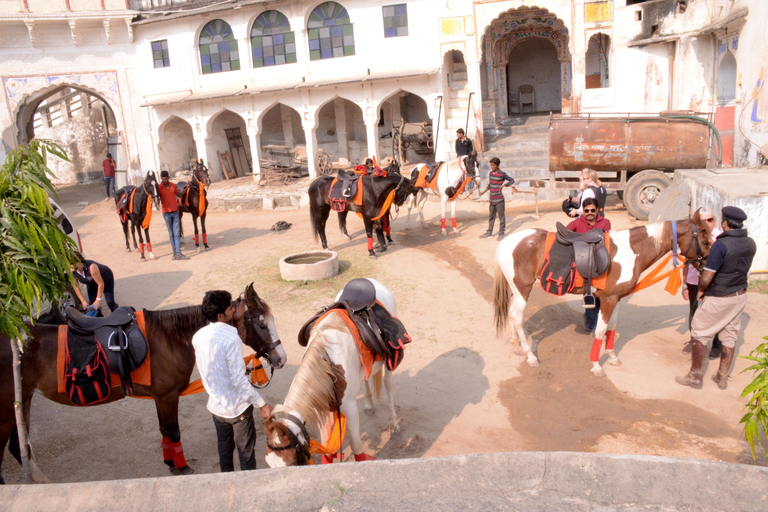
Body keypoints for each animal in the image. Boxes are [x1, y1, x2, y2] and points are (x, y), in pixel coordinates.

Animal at [0, 282, 284, 482]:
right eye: (261, 324)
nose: (281, 358)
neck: (169, 337)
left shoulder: (159, 396)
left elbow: (163, 431)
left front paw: (170, 463)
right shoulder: (167, 396)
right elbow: (173, 431)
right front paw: (181, 467)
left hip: (22, 401)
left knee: (19, 446)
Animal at [260, 278, 400, 466]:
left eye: (292, 462)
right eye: (268, 463)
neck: (327, 359)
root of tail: (372, 281)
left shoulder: (349, 407)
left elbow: (356, 445)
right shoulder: (321, 404)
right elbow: (326, 448)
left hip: (389, 360)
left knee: (389, 385)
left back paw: (394, 425)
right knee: (366, 379)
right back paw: (369, 405)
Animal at [496, 211, 712, 376]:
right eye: (704, 240)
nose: (708, 270)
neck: (630, 251)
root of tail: (506, 242)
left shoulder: (616, 298)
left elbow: (612, 327)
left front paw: (612, 357)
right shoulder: (607, 300)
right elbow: (600, 330)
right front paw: (596, 365)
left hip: (516, 291)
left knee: (510, 314)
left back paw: (517, 347)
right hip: (523, 289)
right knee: (517, 318)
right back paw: (530, 356)